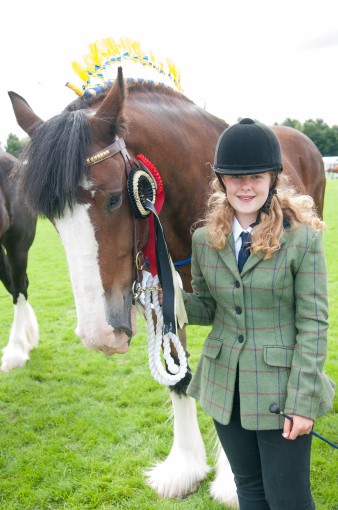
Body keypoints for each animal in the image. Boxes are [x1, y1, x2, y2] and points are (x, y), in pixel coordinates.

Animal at [7, 68, 324, 506]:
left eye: (113, 199)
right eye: (52, 218)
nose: (99, 335)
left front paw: (229, 482)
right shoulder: (165, 301)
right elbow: (184, 378)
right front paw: (185, 467)